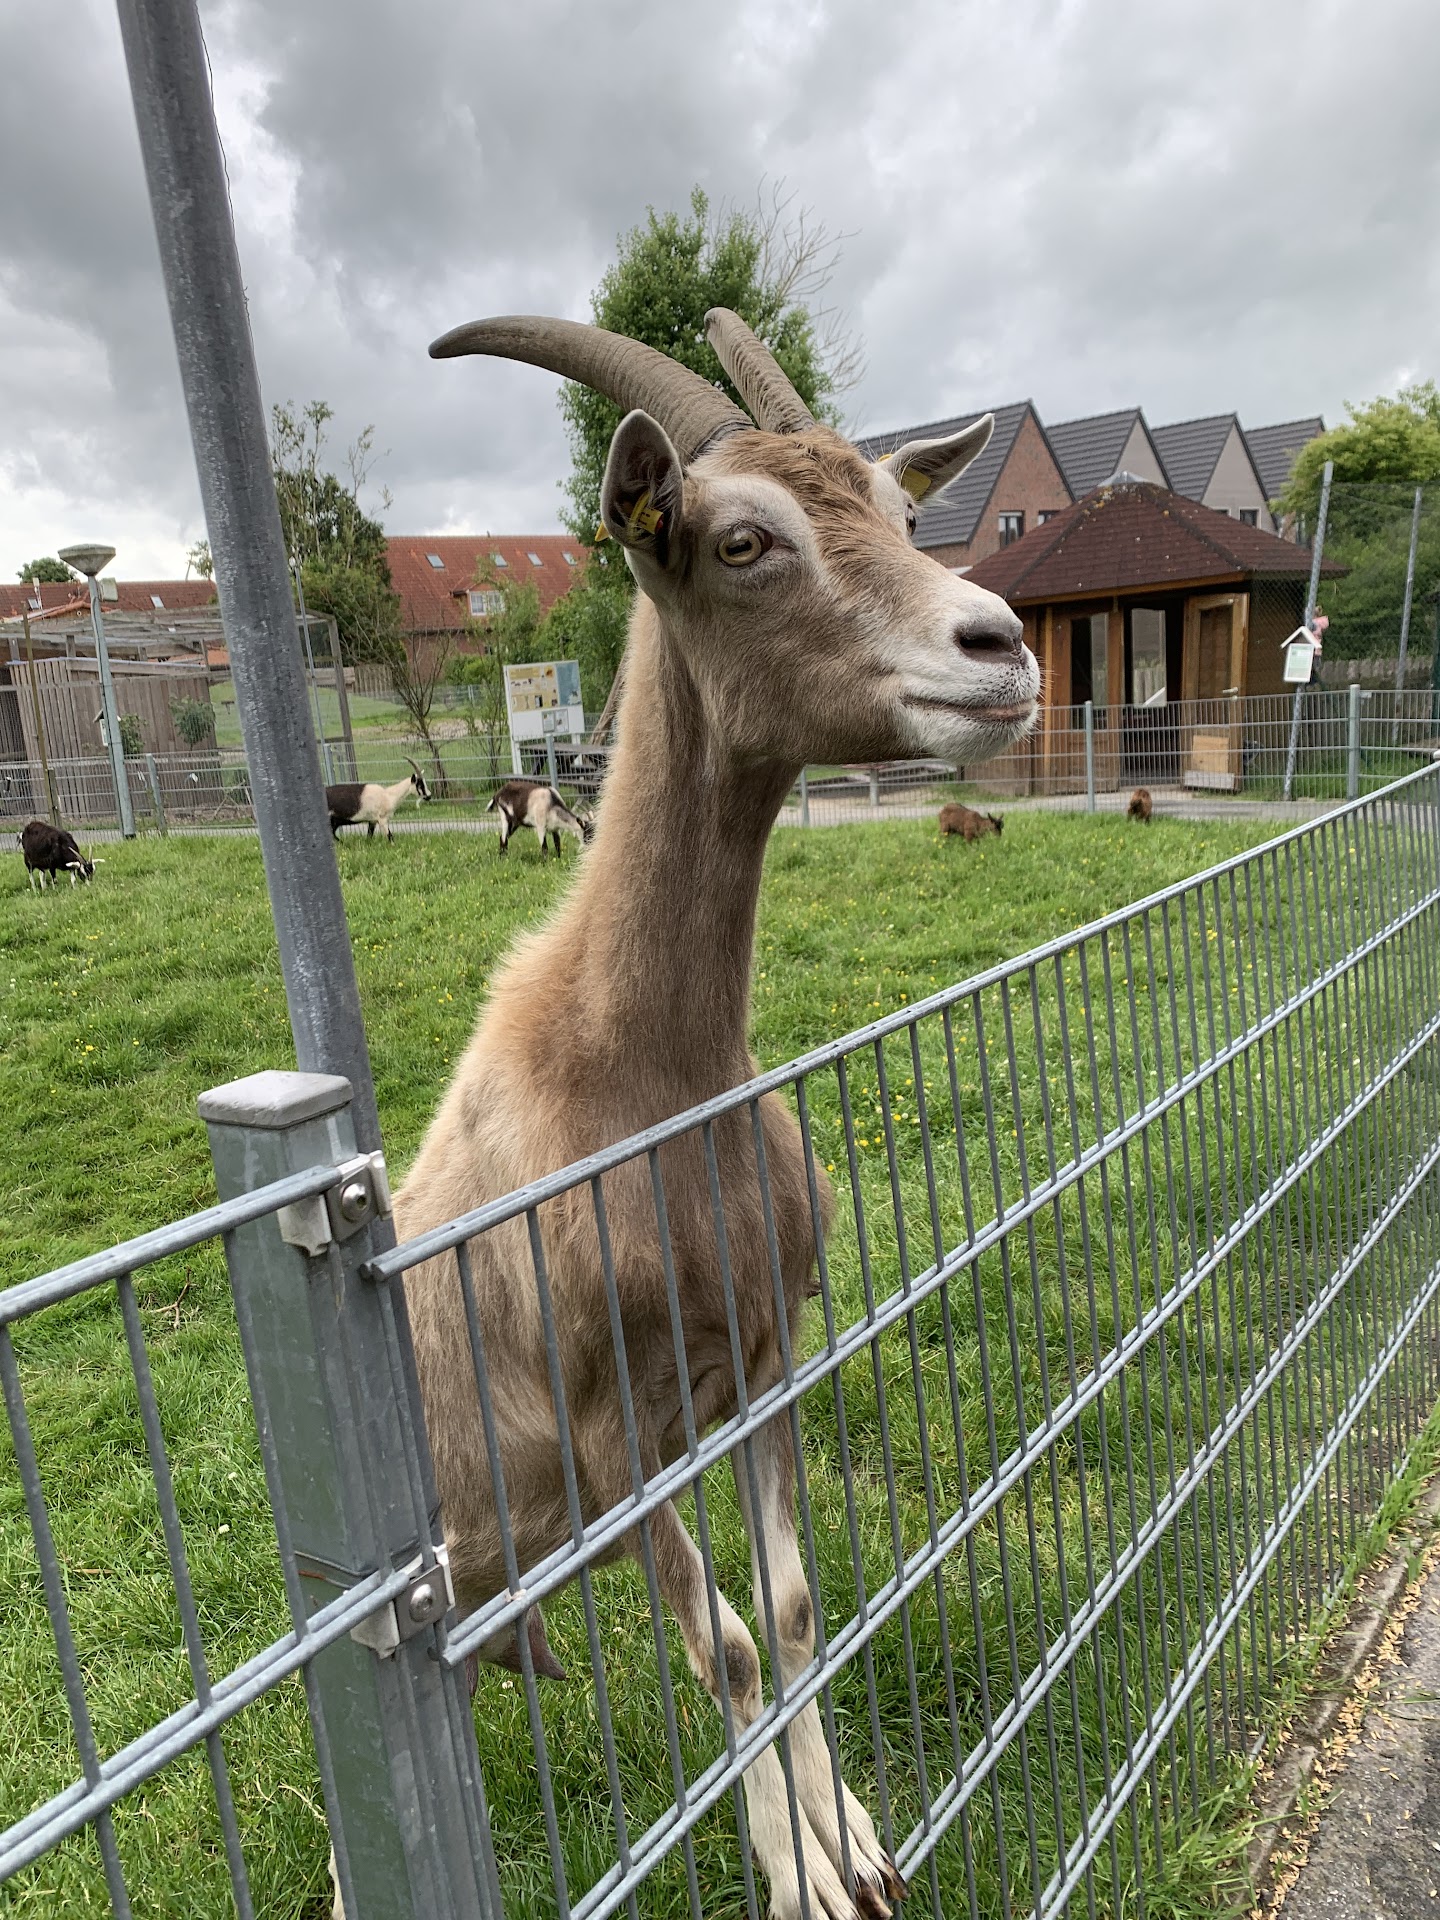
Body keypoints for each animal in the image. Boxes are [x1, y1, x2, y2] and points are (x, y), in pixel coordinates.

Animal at [352, 307, 1040, 1920]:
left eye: (903, 510)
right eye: (742, 539)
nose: (999, 647)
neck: (640, 1081)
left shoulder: (770, 1351)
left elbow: (783, 1610)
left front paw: (853, 1840)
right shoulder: (610, 1430)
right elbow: (722, 1641)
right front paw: (799, 1876)